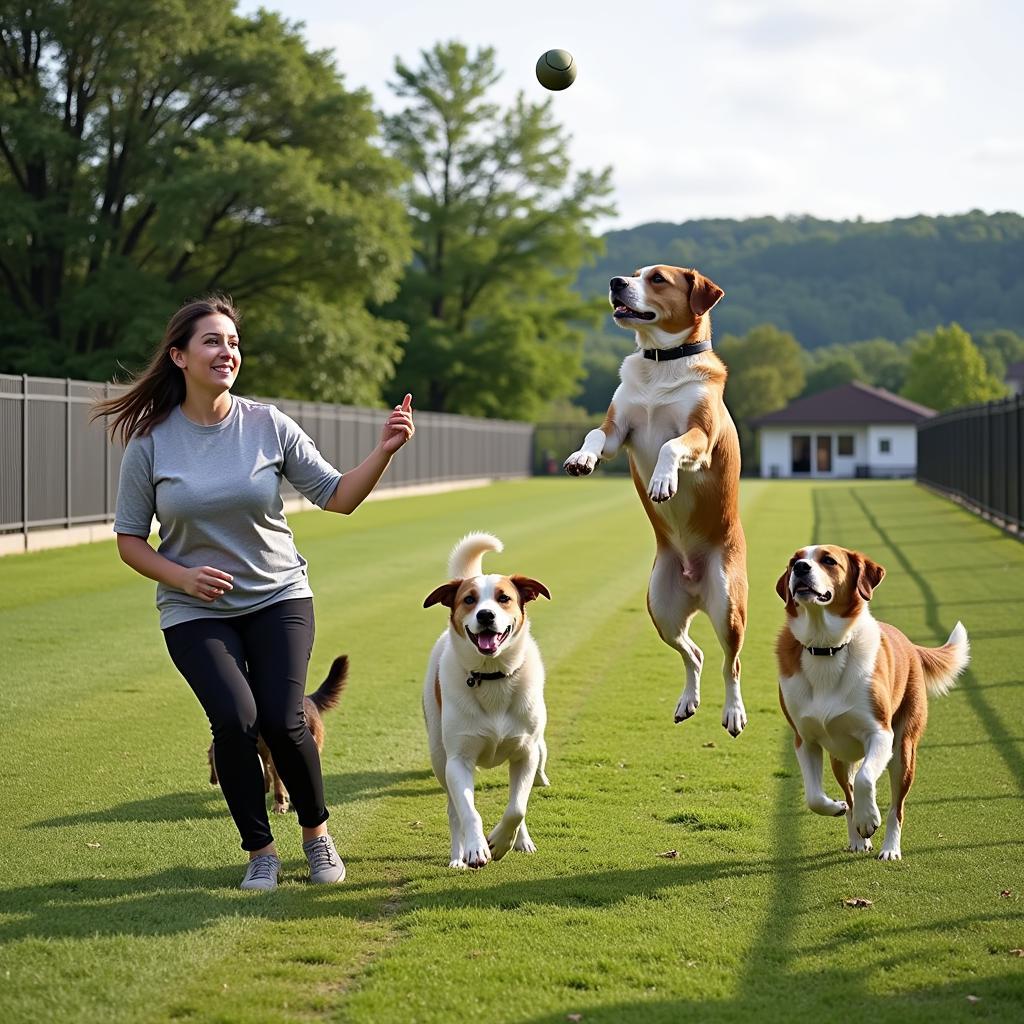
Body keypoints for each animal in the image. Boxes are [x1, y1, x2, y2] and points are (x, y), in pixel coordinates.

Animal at [419, 532, 552, 868]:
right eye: (469, 599)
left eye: (504, 598)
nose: (486, 614)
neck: (492, 677)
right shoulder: (458, 761)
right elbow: (468, 812)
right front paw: (477, 847)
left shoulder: (526, 753)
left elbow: (516, 808)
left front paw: (503, 842)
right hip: (439, 754)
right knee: (453, 810)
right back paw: (458, 855)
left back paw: (521, 840)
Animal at [565, 264, 749, 737]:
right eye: (633, 274)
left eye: (658, 279)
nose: (615, 282)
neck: (660, 368)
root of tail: (695, 583)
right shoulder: (617, 430)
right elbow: (595, 436)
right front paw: (580, 459)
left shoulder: (700, 437)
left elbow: (670, 445)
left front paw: (664, 481)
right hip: (661, 609)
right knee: (694, 654)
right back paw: (687, 702)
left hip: (728, 606)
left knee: (731, 664)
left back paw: (733, 712)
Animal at [774, 548, 966, 860]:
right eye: (794, 561)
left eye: (828, 560)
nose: (801, 568)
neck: (826, 647)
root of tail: (909, 645)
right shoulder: (805, 739)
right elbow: (815, 797)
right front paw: (838, 809)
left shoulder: (880, 733)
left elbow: (866, 780)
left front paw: (869, 819)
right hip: (840, 758)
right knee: (850, 790)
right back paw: (857, 838)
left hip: (903, 751)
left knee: (896, 806)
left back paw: (889, 847)